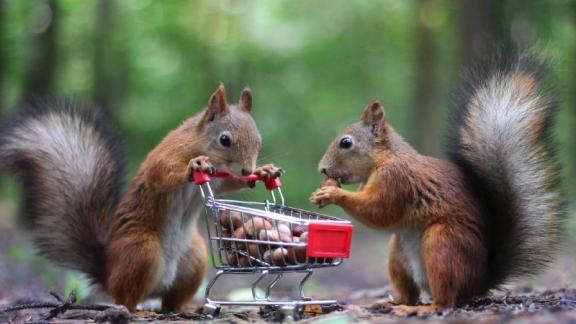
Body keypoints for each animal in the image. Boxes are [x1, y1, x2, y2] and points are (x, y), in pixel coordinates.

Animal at [0, 85, 282, 312]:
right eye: (225, 139)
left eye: (259, 139)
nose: (247, 169)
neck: (199, 144)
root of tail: (108, 271)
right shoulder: (167, 155)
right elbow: (162, 173)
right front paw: (195, 165)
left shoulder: (220, 180)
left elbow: (229, 183)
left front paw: (264, 171)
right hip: (140, 250)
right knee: (126, 299)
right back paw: (136, 312)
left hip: (194, 257)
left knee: (170, 304)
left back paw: (189, 308)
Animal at [310, 55, 564, 316]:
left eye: (346, 143)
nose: (322, 169)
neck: (384, 159)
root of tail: (479, 283)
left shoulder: (397, 180)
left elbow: (380, 211)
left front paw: (333, 192)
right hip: (398, 254)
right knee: (410, 294)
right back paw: (391, 303)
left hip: (443, 244)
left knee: (447, 300)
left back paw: (422, 309)